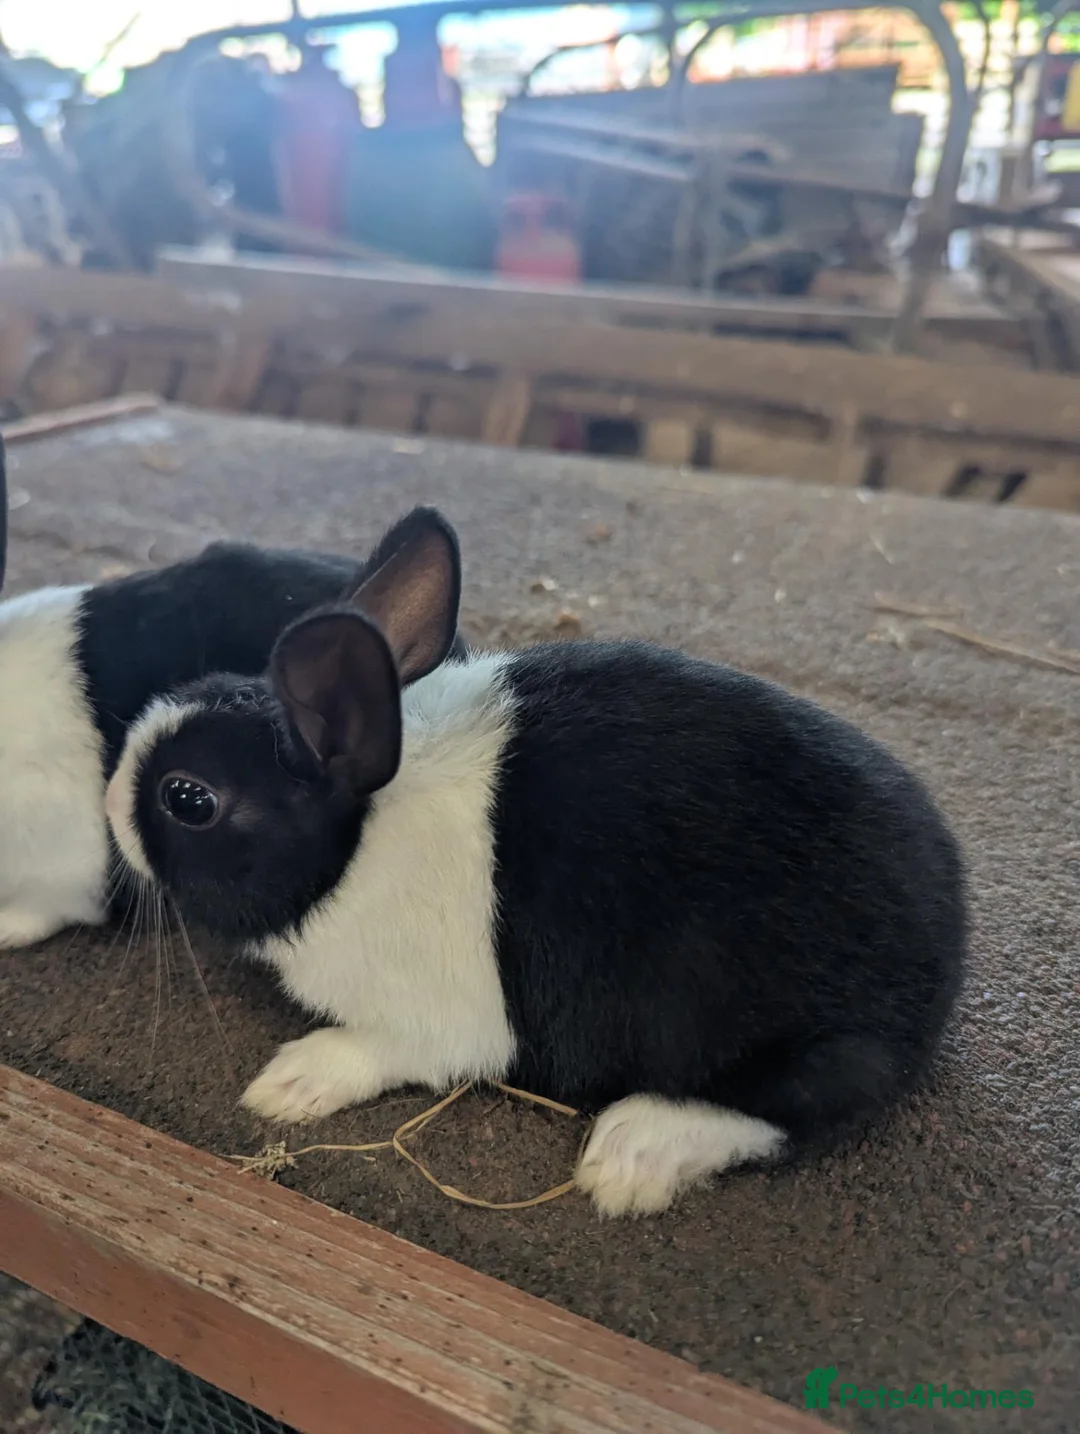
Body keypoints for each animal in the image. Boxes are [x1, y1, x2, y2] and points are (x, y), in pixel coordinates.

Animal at [104, 508, 966, 1217]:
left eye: (189, 799)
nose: (109, 803)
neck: (355, 844)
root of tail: (943, 948)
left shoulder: (435, 1024)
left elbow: (373, 1050)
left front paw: (287, 1084)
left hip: (766, 1029)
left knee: (793, 1110)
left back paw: (629, 1157)